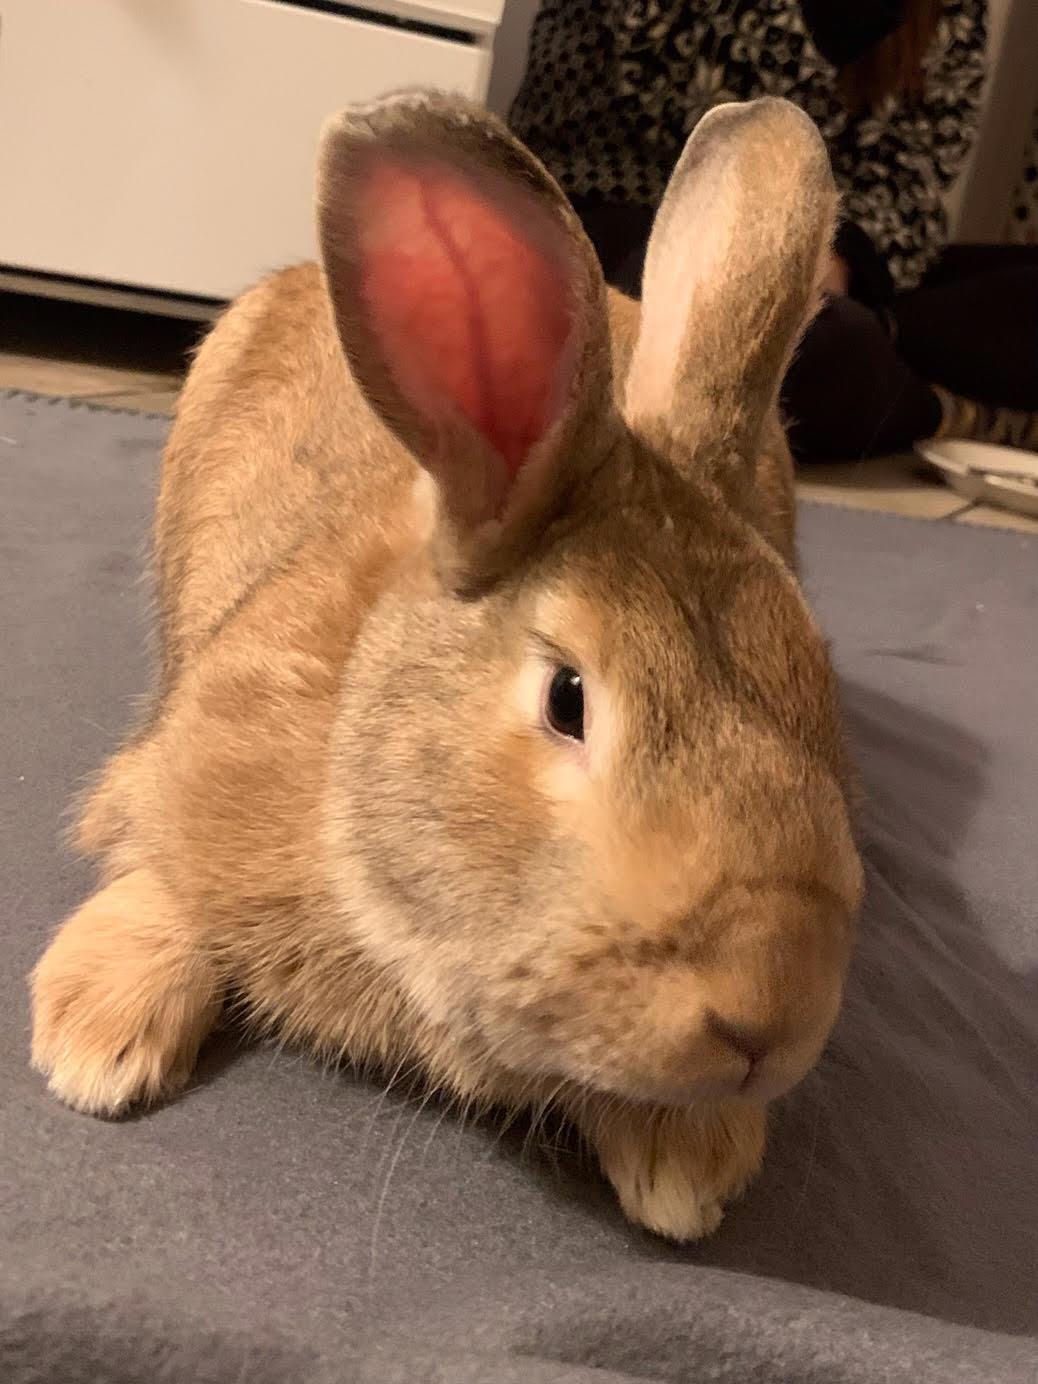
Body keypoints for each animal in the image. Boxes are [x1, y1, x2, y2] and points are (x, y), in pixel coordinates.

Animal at [30, 91, 863, 1242]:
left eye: (817, 678)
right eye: (567, 700)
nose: (768, 1017)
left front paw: (689, 1165)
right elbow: (159, 871)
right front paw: (90, 1038)